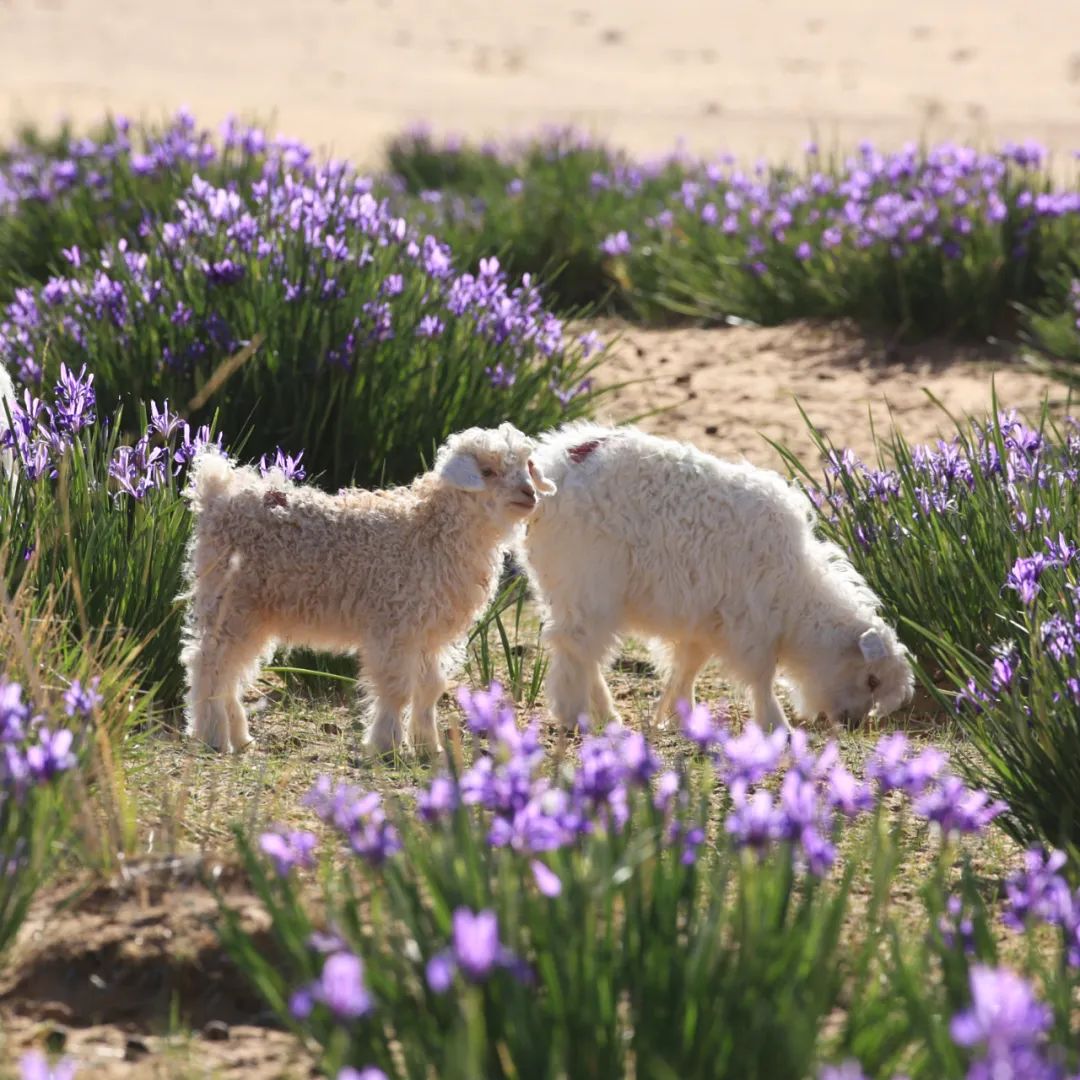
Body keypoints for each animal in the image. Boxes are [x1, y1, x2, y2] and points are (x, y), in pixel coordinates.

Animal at [180, 421, 552, 751]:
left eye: (526, 466)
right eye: (487, 471)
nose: (529, 494)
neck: (430, 531)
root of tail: (217, 494)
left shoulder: (428, 633)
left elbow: (430, 688)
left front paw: (428, 746)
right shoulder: (395, 624)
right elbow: (397, 689)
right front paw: (387, 746)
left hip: (252, 613)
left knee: (231, 671)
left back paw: (239, 737)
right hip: (228, 600)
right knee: (208, 663)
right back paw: (212, 736)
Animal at [520, 421, 911, 734]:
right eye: (872, 679)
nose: (855, 723)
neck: (798, 589)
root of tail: (551, 470)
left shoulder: (703, 624)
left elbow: (686, 670)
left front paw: (680, 717)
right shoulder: (752, 626)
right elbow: (761, 679)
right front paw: (777, 725)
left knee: (584, 652)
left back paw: (606, 716)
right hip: (589, 585)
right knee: (575, 647)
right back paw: (577, 715)